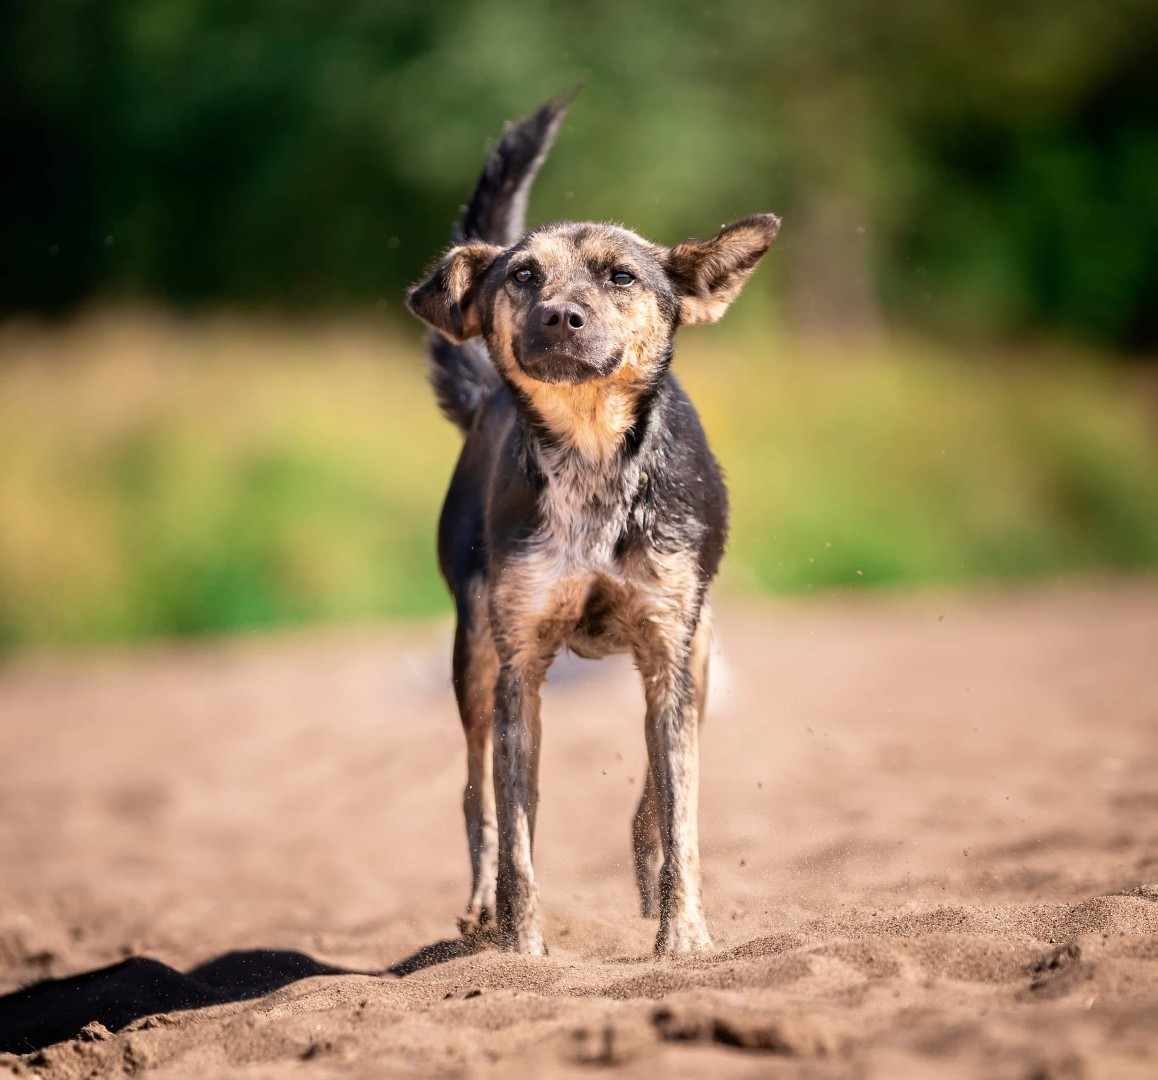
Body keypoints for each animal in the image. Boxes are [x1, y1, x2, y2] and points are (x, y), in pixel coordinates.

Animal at [407, 92, 778, 953]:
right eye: (523, 275)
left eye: (620, 276)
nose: (560, 316)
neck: (589, 457)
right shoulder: (520, 666)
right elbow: (518, 834)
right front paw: (521, 950)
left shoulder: (673, 648)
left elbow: (679, 813)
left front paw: (681, 937)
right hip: (473, 653)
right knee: (476, 796)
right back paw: (481, 911)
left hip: (695, 645)